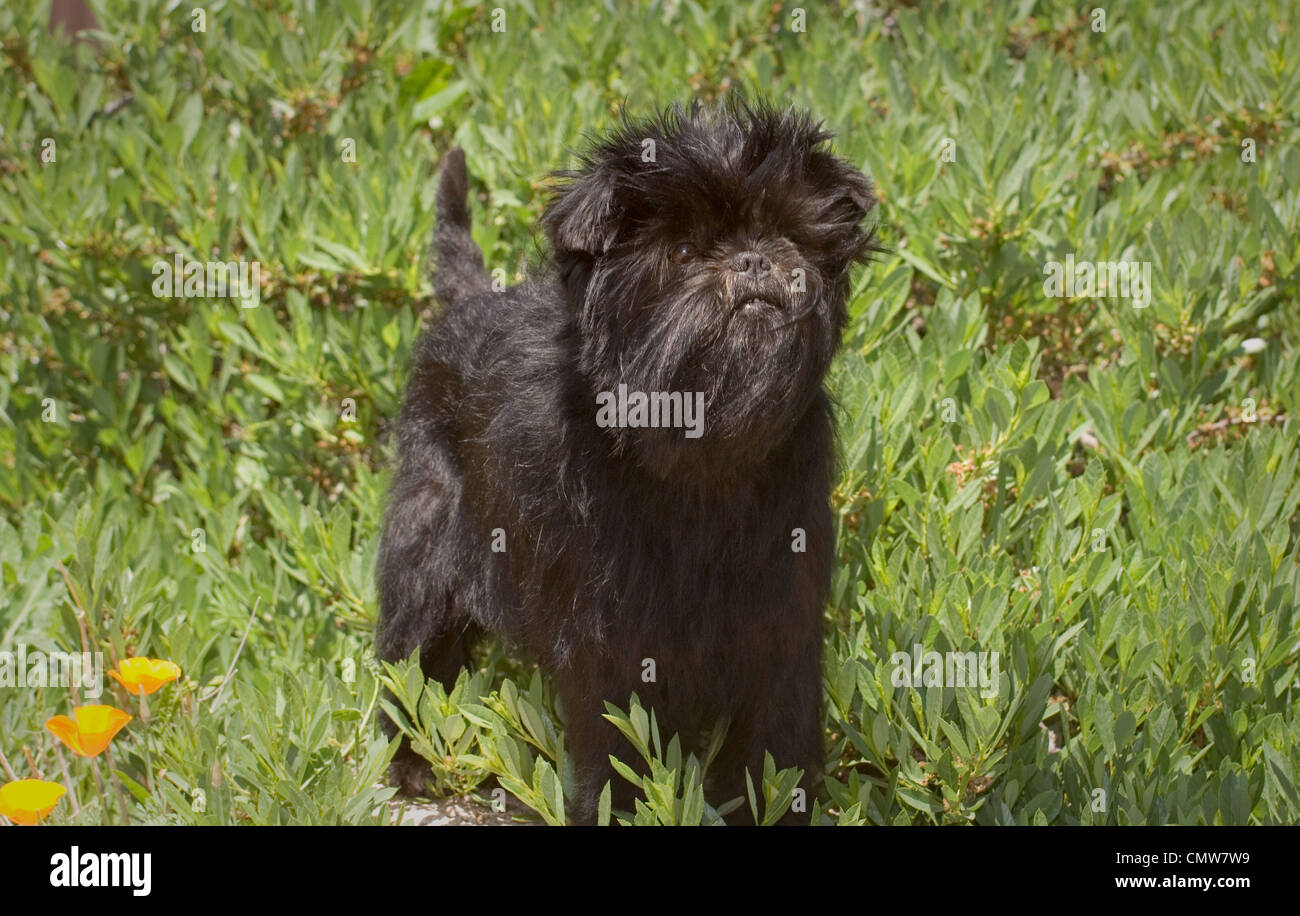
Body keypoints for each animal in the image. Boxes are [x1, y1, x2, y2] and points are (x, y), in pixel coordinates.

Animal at [377, 100, 878, 821]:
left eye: (786, 232)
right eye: (684, 251)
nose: (754, 260)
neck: (702, 457)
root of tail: (471, 300)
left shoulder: (782, 625)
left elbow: (773, 742)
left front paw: (772, 807)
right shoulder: (611, 644)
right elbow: (617, 744)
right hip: (427, 532)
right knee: (411, 646)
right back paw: (408, 759)